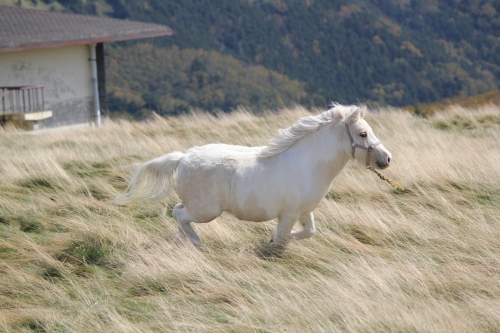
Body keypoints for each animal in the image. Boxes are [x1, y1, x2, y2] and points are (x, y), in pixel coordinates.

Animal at [117, 105, 390, 245]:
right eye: (363, 134)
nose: (386, 159)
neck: (308, 165)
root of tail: (182, 158)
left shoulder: (303, 212)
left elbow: (307, 232)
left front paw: (273, 240)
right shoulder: (288, 214)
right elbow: (282, 238)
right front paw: (272, 244)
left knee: (177, 211)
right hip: (205, 211)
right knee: (179, 214)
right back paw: (196, 242)